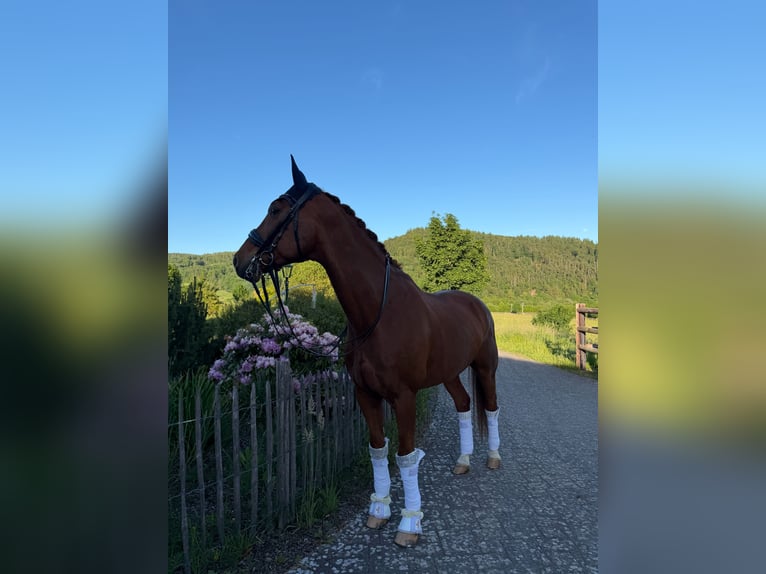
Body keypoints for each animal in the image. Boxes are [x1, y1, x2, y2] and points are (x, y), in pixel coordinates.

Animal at [232, 156, 501, 547]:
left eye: (276, 209)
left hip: (485, 368)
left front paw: (409, 524)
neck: (378, 311)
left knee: (491, 408)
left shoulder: (403, 397)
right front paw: (379, 511)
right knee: (465, 405)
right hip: (450, 373)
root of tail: (476, 304)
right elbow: (377, 449)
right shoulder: (365, 394)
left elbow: (405, 456)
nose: (240, 260)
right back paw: (463, 461)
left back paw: (493, 457)